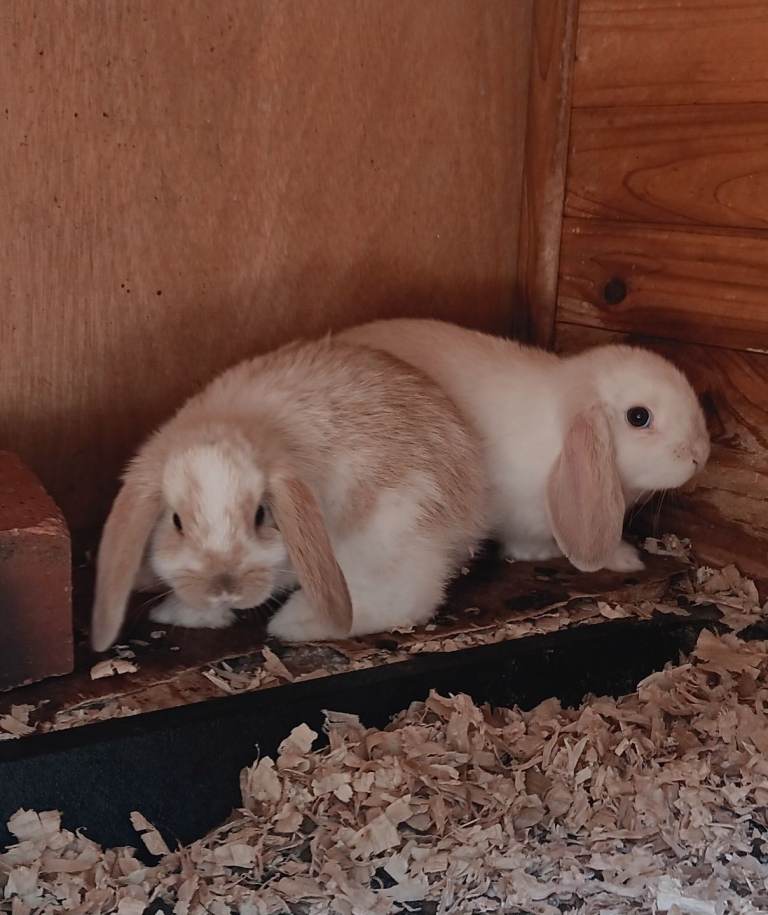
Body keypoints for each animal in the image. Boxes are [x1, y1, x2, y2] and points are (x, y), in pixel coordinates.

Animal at [90, 337, 487, 652]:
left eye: (260, 515)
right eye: (176, 521)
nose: (225, 587)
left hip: (390, 531)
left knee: (408, 596)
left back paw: (295, 623)